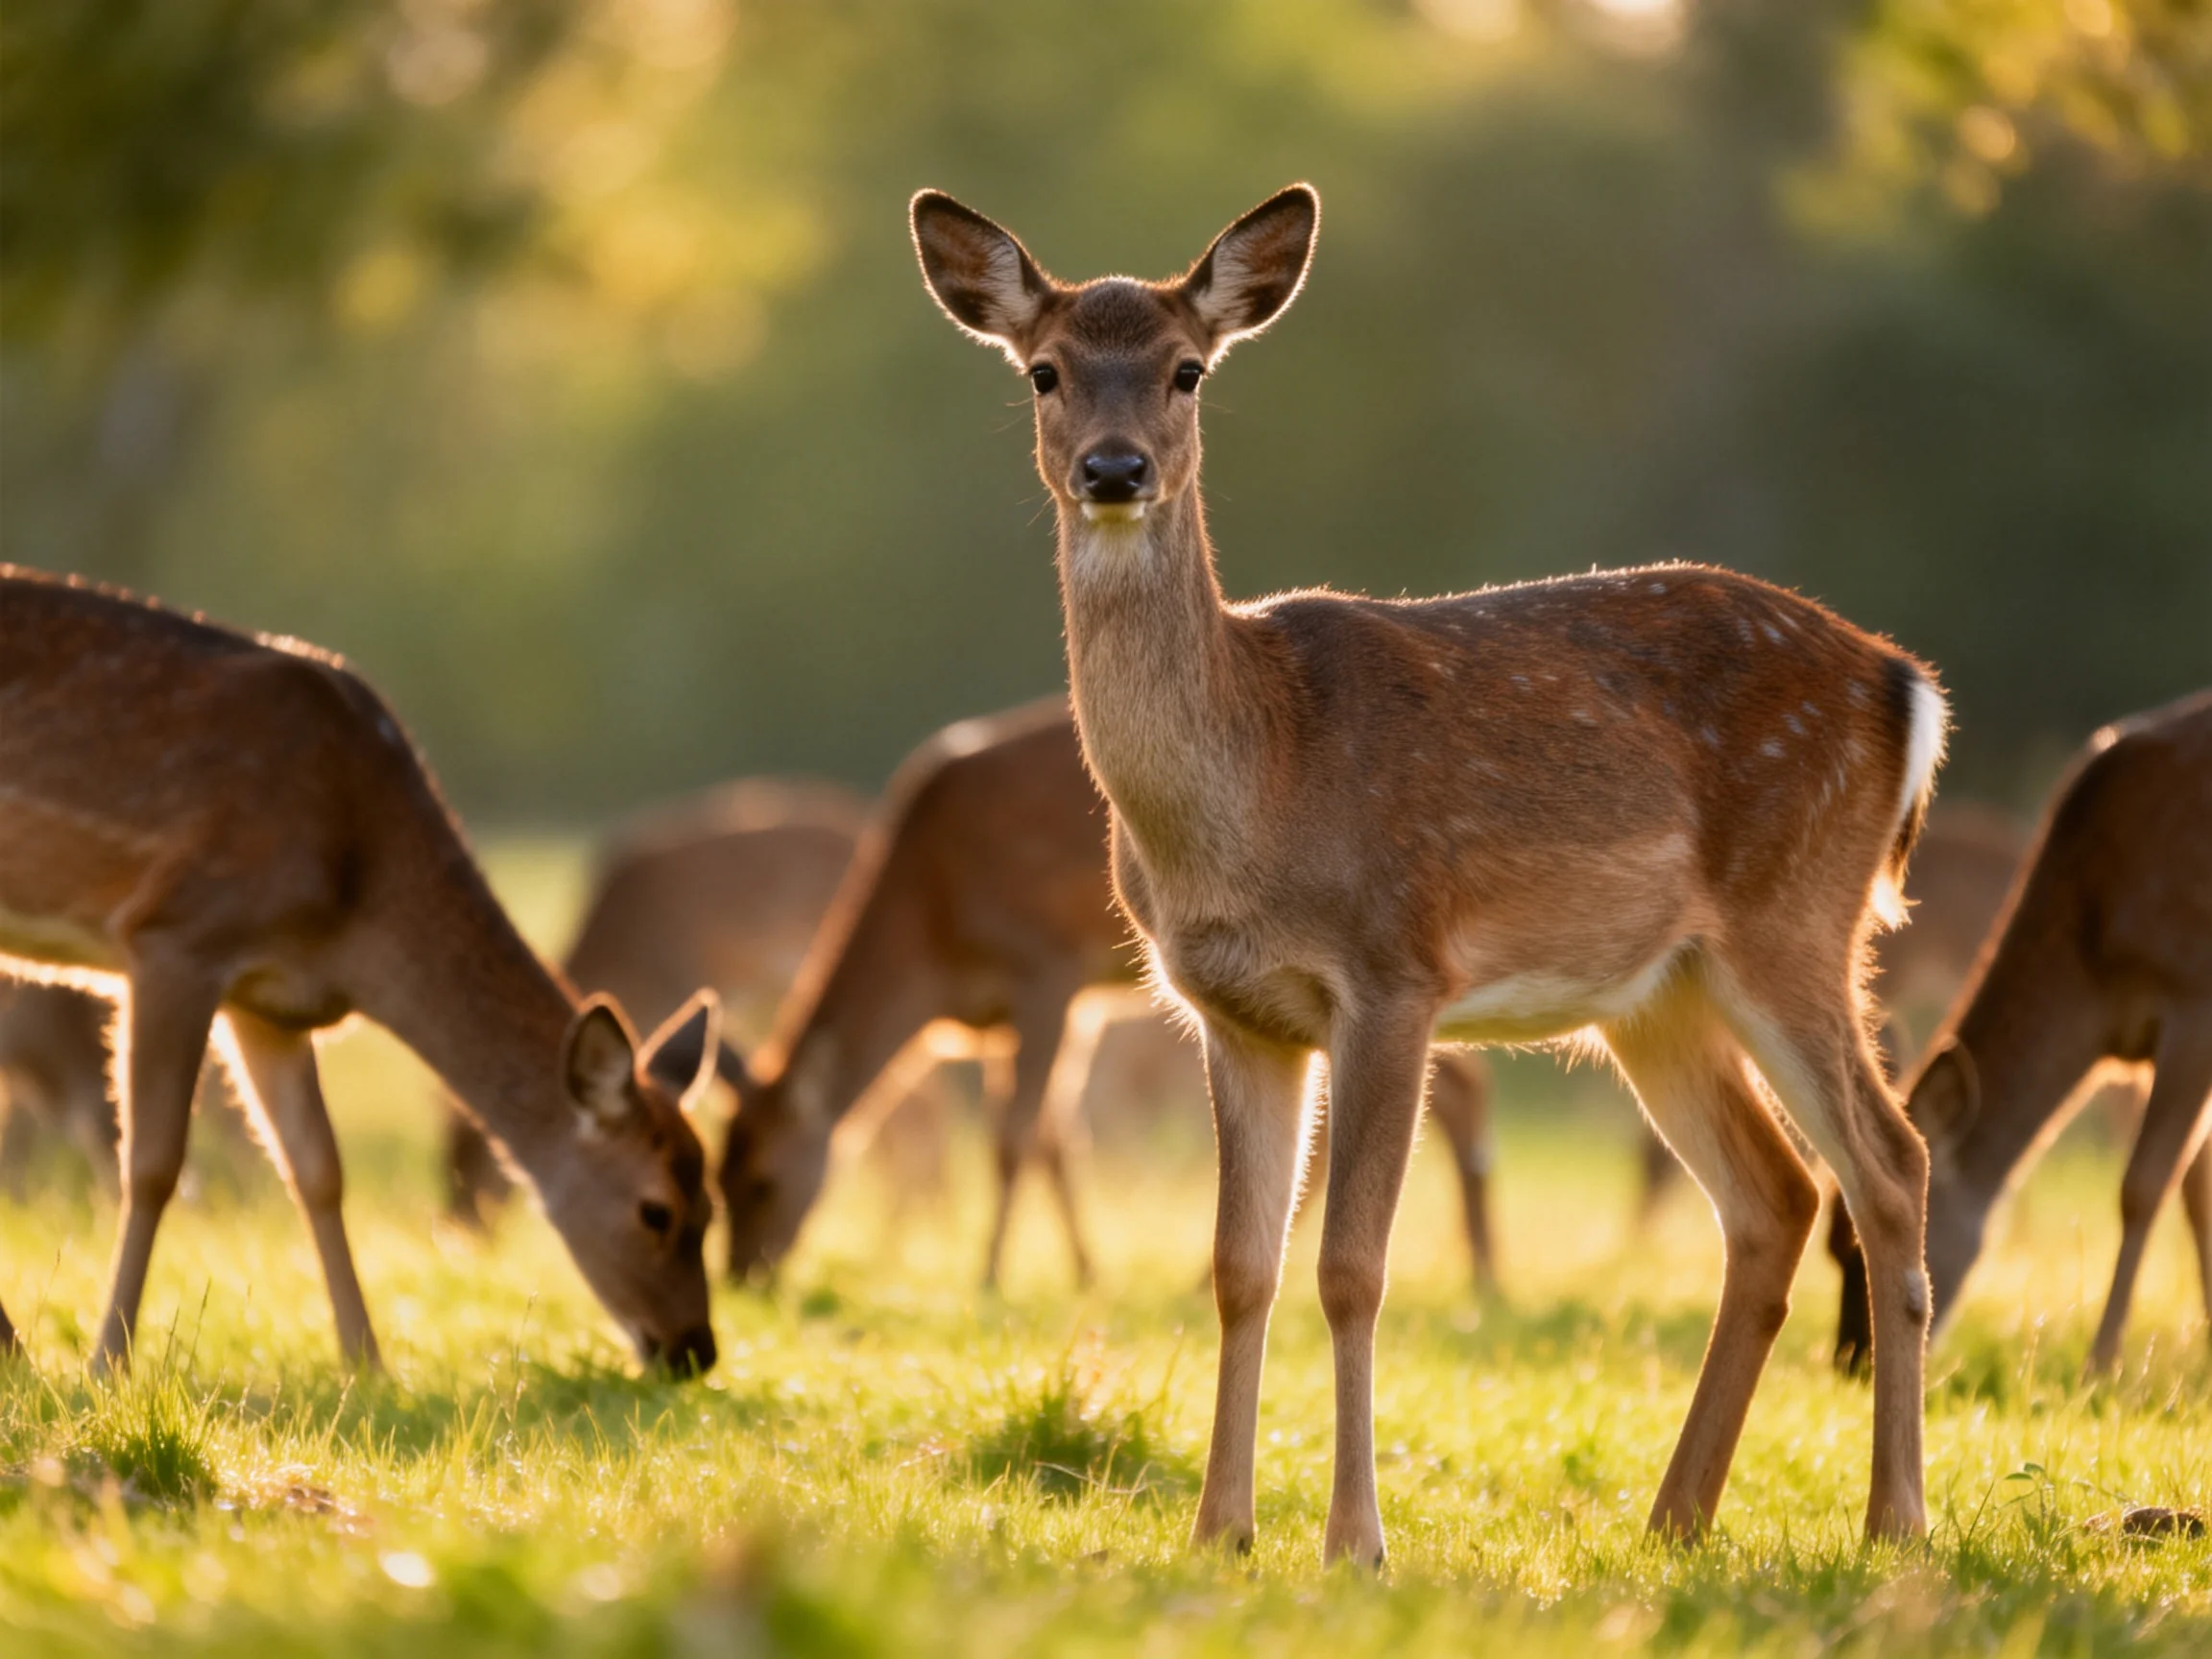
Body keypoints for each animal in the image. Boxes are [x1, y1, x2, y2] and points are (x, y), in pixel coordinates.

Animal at [0, 566, 721, 1375]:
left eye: (712, 1203)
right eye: (656, 1210)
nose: (697, 1350)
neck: (357, 909)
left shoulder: (268, 1001)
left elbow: (317, 1169)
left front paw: (368, 1364)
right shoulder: (175, 933)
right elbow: (154, 1165)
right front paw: (108, 1363)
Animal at [715, 697, 1501, 1294]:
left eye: (761, 1180)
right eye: (717, 1178)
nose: (744, 1277)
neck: (932, 939)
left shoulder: (1047, 967)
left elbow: (1015, 1136)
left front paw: (990, 1276)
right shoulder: (1025, 1009)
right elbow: (1058, 1138)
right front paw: (1086, 1274)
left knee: (1453, 1083)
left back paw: (1483, 1276)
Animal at [911, 184, 1946, 1559]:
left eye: (1188, 370)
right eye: (1045, 371)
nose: (1115, 469)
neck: (1260, 781)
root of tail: (1907, 686)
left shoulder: (1394, 969)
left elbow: (1352, 1266)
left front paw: (1355, 1541)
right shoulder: (1231, 1012)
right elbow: (1238, 1268)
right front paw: (1221, 1532)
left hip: (1798, 915)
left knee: (1889, 1165)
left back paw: (1894, 1520)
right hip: (1660, 993)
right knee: (1774, 1195)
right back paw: (1674, 1519)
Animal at [1831, 691, 2212, 1376]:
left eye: (1853, 1244)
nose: (1849, 1360)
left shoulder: (2194, 996)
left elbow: (2143, 1185)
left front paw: (2101, 1365)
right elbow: (2197, 1189)